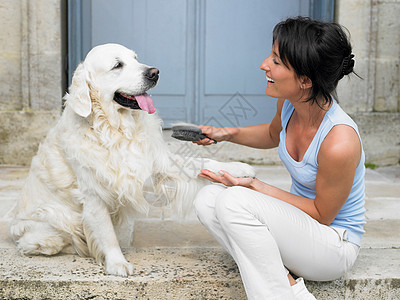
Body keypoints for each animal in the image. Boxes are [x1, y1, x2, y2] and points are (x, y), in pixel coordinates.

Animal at [6, 44, 255, 276]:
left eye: (136, 58)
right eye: (118, 65)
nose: (155, 72)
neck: (115, 128)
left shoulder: (155, 162)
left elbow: (198, 162)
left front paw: (237, 168)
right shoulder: (93, 193)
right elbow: (106, 233)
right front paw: (116, 262)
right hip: (51, 223)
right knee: (49, 241)